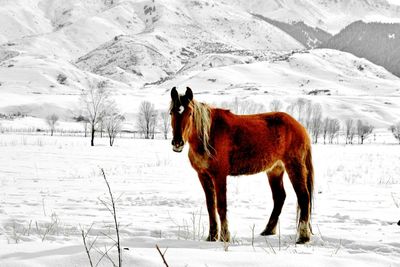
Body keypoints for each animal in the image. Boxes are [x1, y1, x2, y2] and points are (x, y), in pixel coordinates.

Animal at [170, 87, 314, 244]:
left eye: (190, 113)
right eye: (171, 112)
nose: (177, 143)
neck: (209, 135)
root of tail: (300, 127)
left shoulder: (219, 175)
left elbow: (221, 205)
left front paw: (225, 236)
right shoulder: (203, 175)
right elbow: (210, 206)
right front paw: (211, 236)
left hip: (294, 167)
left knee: (304, 197)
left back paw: (303, 237)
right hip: (275, 170)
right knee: (279, 197)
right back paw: (268, 230)